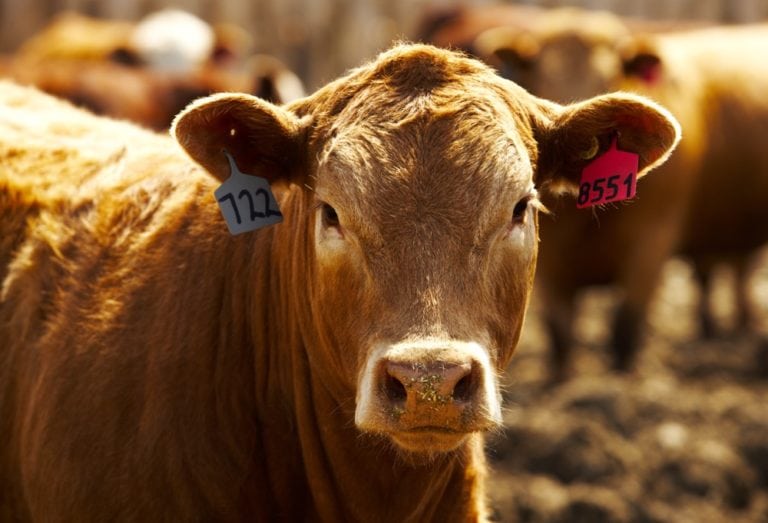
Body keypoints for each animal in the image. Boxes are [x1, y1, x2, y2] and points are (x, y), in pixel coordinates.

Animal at [473, 9, 768, 378]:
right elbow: (560, 334)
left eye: (607, 77)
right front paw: (562, 380)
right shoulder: (548, 266)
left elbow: (626, 326)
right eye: (541, 78)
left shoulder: (652, 241)